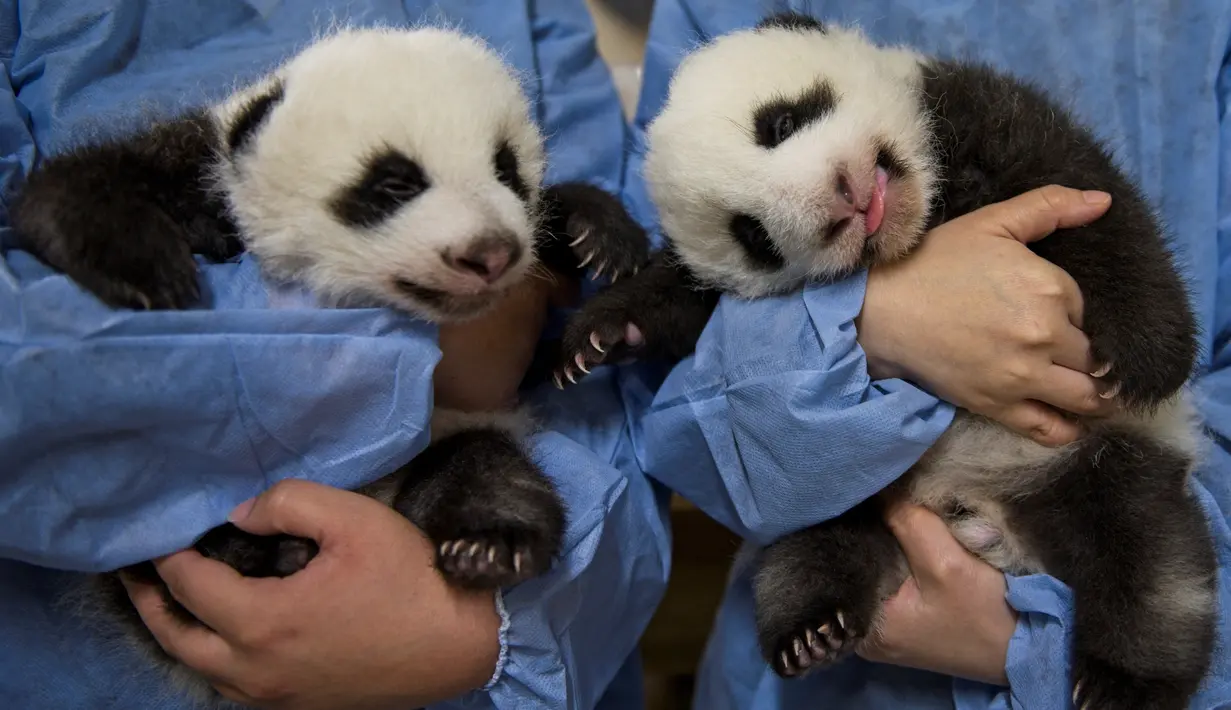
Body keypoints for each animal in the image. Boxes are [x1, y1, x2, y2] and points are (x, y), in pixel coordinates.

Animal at [11, 25, 648, 707]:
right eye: (394, 183)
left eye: (506, 169)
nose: (489, 253)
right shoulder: (198, 162)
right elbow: (79, 189)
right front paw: (149, 270)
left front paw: (596, 233)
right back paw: (250, 553)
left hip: (453, 443)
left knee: (483, 468)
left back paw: (490, 542)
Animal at [554, 12, 1215, 710]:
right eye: (754, 235)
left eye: (780, 123)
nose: (839, 204)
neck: (921, 222)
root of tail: (990, 527)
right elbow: (683, 305)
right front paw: (602, 333)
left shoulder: (982, 114)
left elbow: (1090, 202)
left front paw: (1146, 355)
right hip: (842, 489)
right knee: (813, 546)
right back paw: (811, 627)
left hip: (1102, 457)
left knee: (1150, 567)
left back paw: (1125, 683)